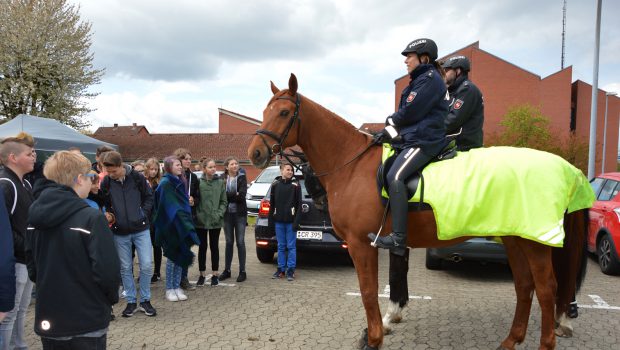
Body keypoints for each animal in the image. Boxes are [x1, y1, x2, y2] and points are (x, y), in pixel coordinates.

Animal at [247, 72, 588, 348]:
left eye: (284, 112)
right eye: (264, 111)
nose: (256, 153)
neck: (352, 165)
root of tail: (566, 167)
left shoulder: (362, 244)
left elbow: (369, 291)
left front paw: (374, 338)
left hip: (534, 243)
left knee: (546, 289)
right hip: (515, 239)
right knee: (525, 286)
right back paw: (511, 339)